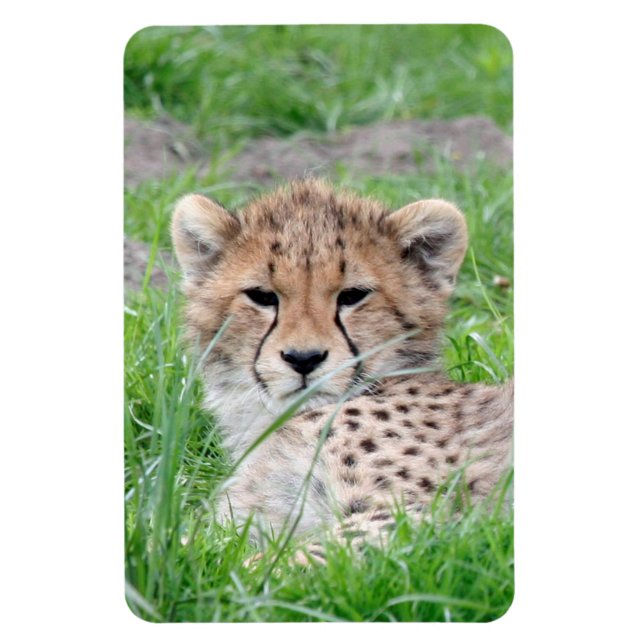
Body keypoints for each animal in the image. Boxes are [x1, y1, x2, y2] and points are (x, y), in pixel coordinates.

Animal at [171, 178, 513, 556]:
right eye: (262, 296)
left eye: (353, 295)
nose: (303, 358)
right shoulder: (246, 522)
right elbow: (195, 549)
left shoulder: (422, 517)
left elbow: (287, 559)